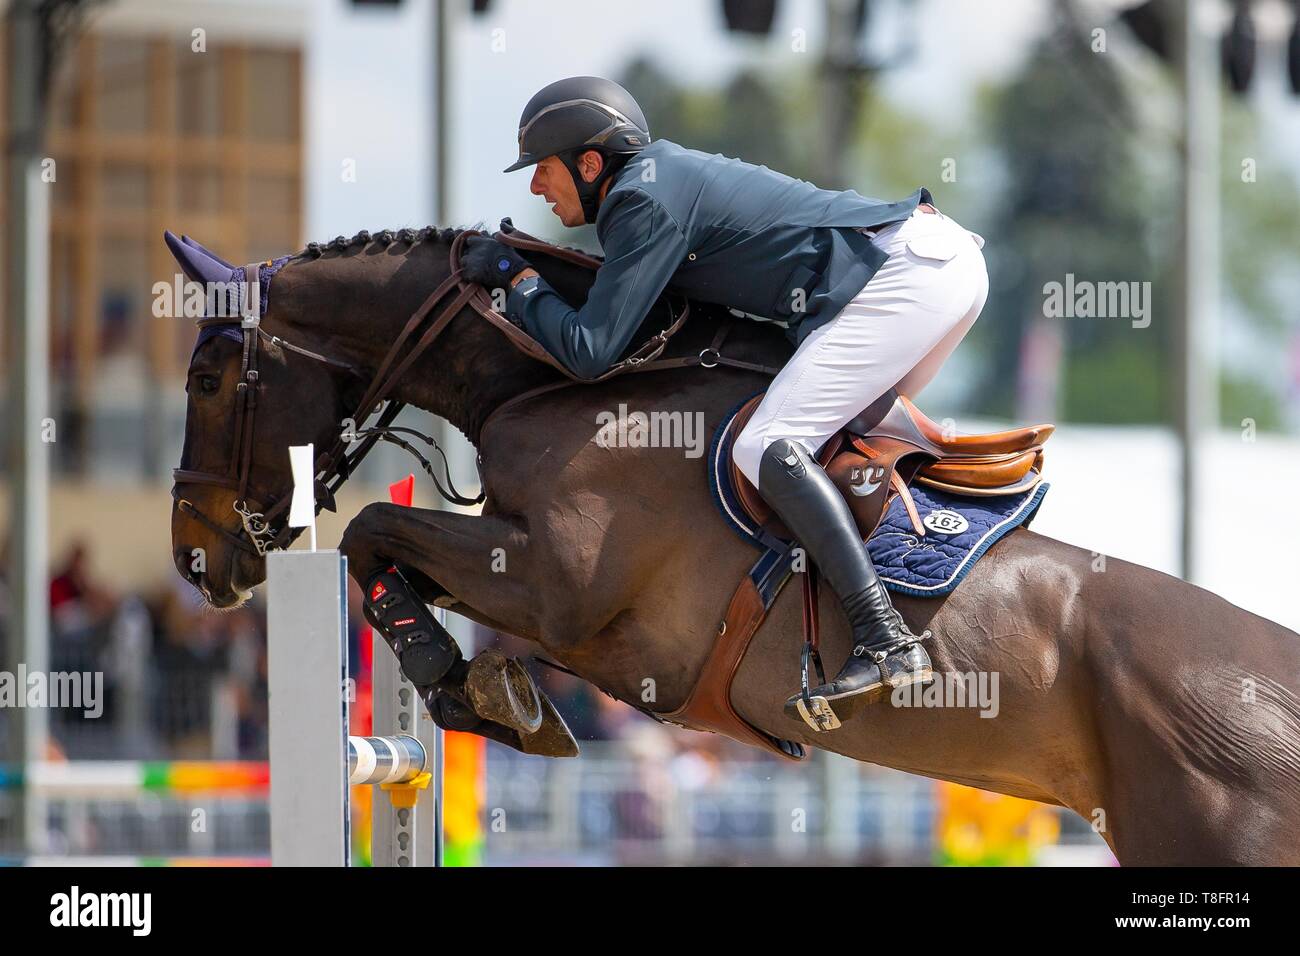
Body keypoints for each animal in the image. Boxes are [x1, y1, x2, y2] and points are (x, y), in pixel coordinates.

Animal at [170, 226, 1300, 868]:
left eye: (210, 379)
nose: (194, 561)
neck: (562, 380)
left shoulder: (556, 591)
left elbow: (372, 533)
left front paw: (470, 685)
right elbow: (389, 553)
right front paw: (489, 693)